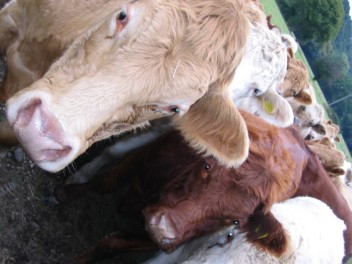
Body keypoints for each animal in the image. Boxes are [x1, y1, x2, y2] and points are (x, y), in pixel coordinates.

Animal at [55, 111, 352, 264]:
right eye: (207, 166)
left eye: (234, 220)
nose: (162, 227)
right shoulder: (149, 155)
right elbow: (106, 180)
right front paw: (72, 189)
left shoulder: (178, 240)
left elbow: (112, 242)